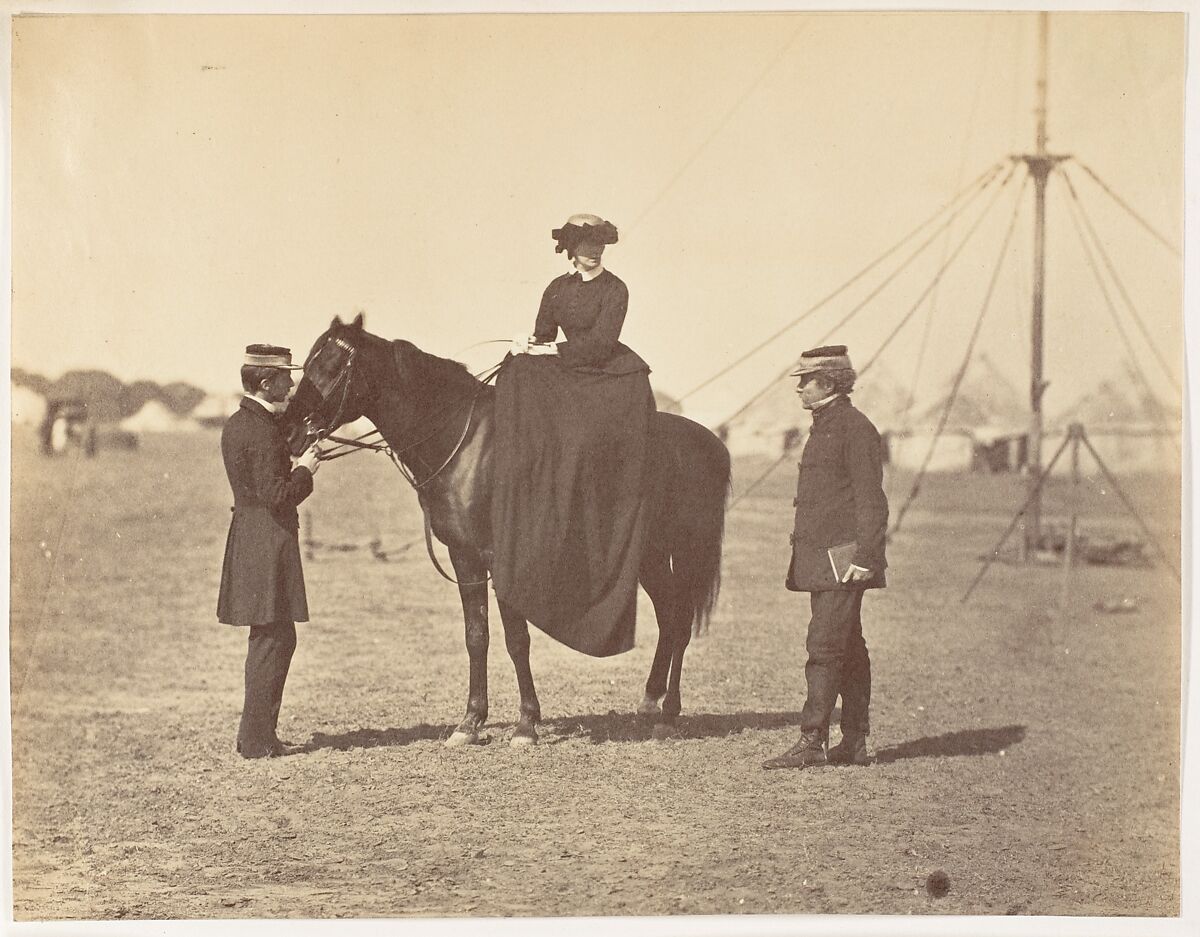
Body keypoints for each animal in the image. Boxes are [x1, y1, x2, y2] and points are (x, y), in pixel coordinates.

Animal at [283, 314, 729, 743]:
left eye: (332, 366)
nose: (290, 432)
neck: (466, 447)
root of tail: (708, 440)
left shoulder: (501, 558)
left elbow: (517, 639)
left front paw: (526, 724)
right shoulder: (464, 556)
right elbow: (476, 635)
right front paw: (470, 722)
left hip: (684, 551)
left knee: (681, 620)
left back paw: (668, 713)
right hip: (650, 555)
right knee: (670, 617)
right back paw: (651, 703)